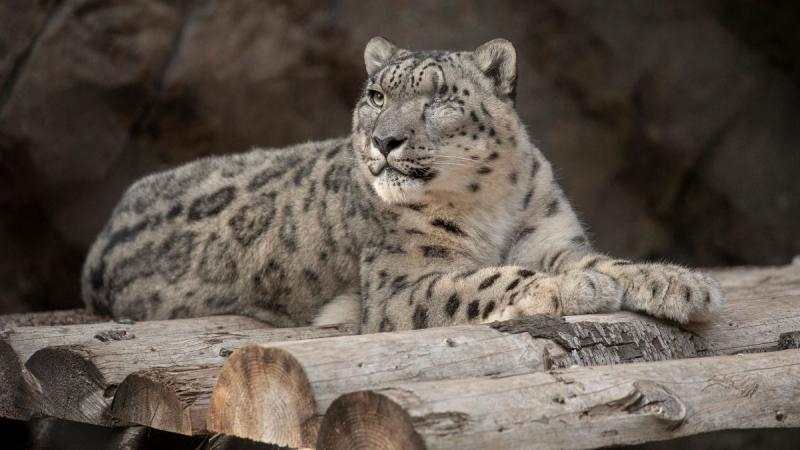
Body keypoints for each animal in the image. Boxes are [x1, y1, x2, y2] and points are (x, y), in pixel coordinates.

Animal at [81, 37, 724, 332]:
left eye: (439, 98)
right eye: (376, 96)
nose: (384, 140)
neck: (490, 205)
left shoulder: (551, 239)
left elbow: (603, 260)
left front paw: (680, 283)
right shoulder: (401, 283)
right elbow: (484, 279)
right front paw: (573, 290)